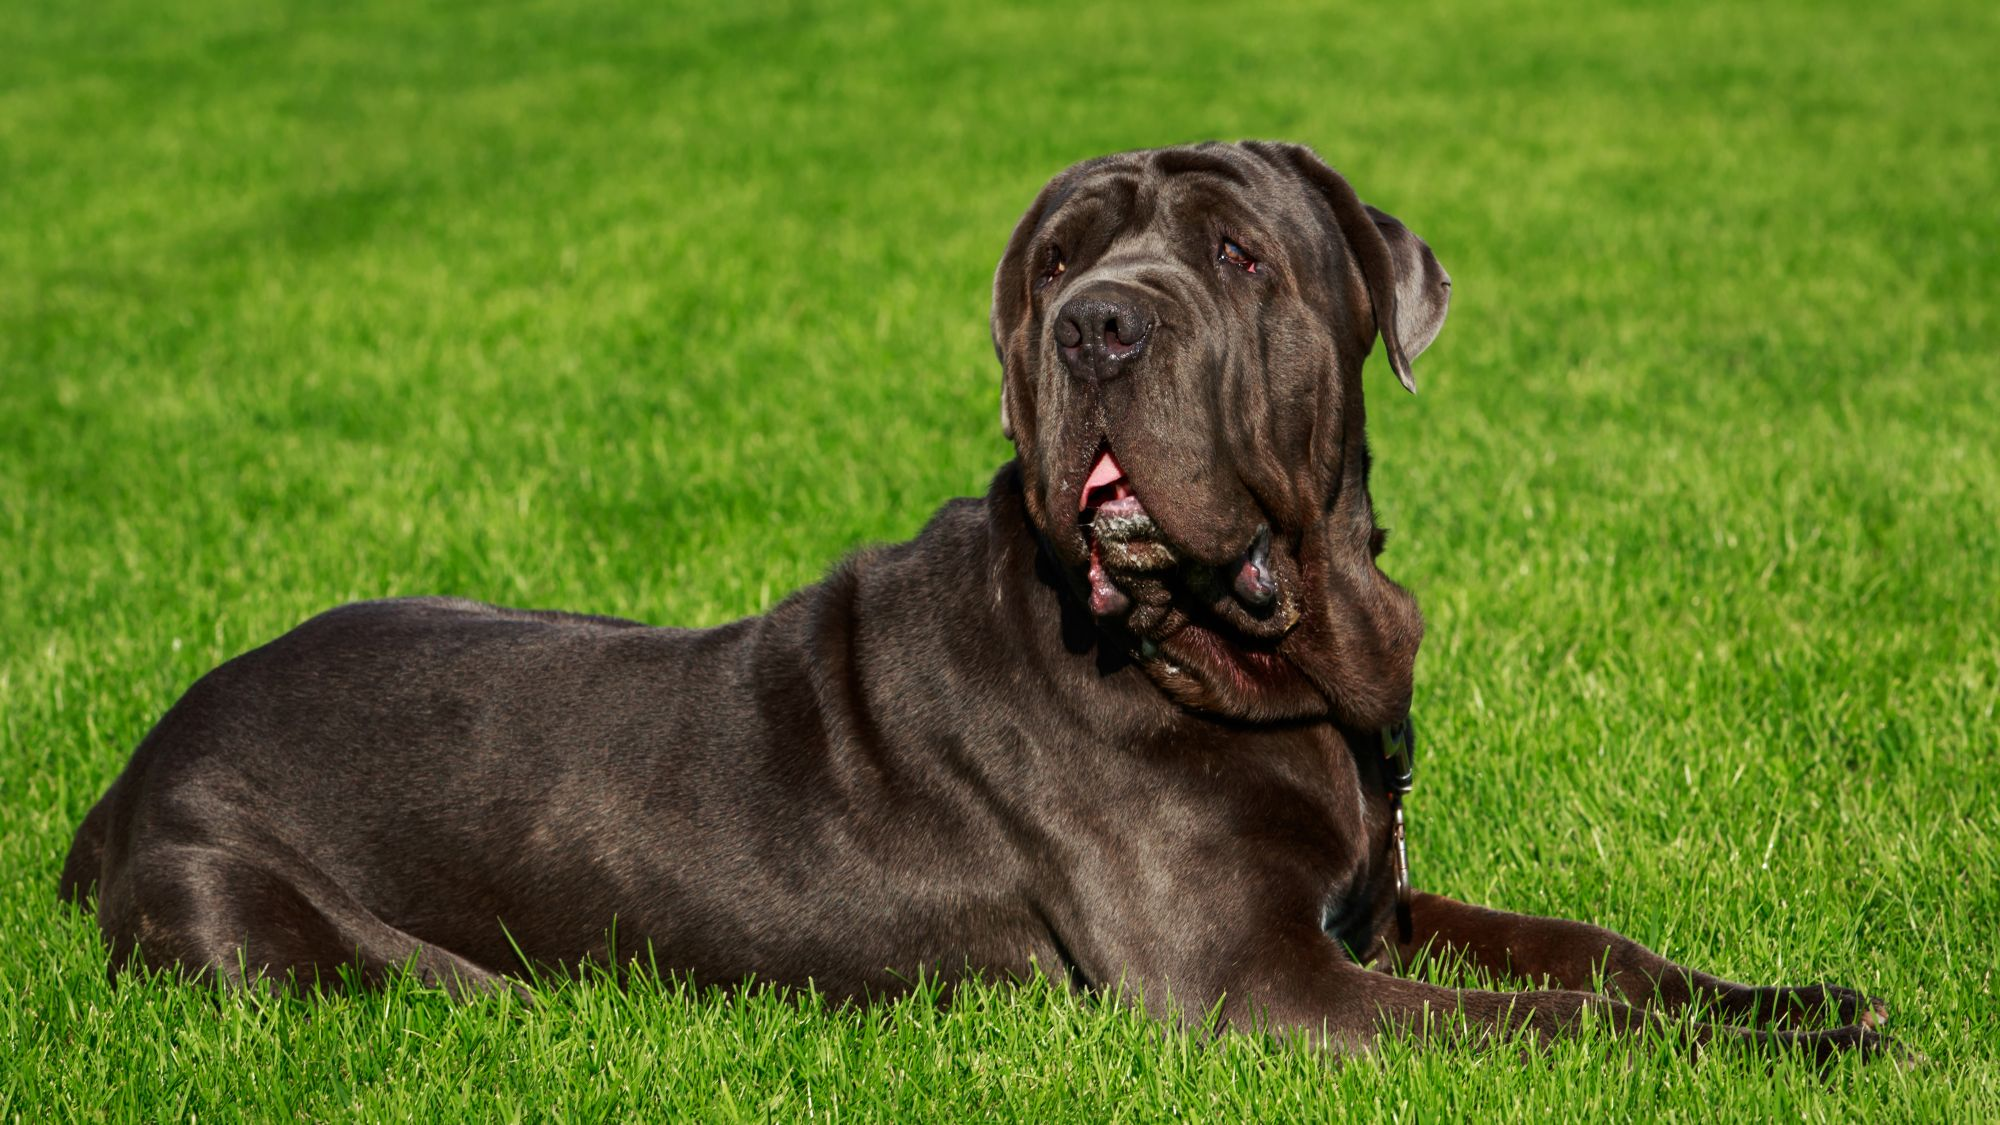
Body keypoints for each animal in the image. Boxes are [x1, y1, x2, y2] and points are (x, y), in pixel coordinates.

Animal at [58, 142, 1888, 1056]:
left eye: (1239, 255)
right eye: (1061, 260)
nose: (1100, 324)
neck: (1258, 654)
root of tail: (125, 776)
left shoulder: (1368, 905)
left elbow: (1591, 954)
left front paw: (1794, 1001)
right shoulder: (1253, 981)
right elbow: (1554, 1025)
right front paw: (1780, 1055)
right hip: (266, 930)